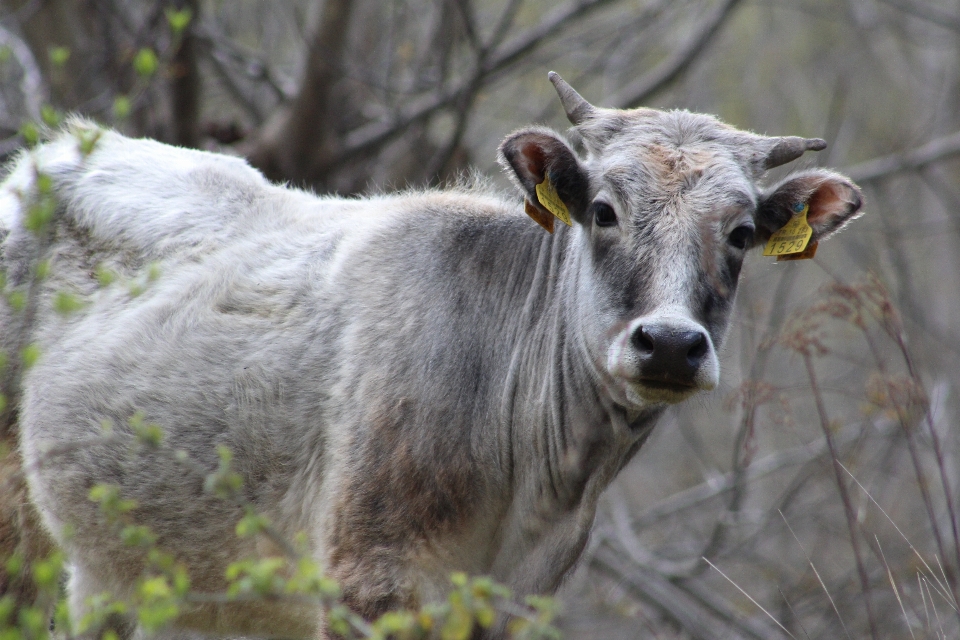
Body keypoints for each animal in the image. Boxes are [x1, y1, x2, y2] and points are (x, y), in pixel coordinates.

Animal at [0, 72, 868, 636]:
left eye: (742, 234)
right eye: (603, 211)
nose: (672, 344)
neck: (536, 484)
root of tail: (64, 147)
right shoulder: (370, 582)